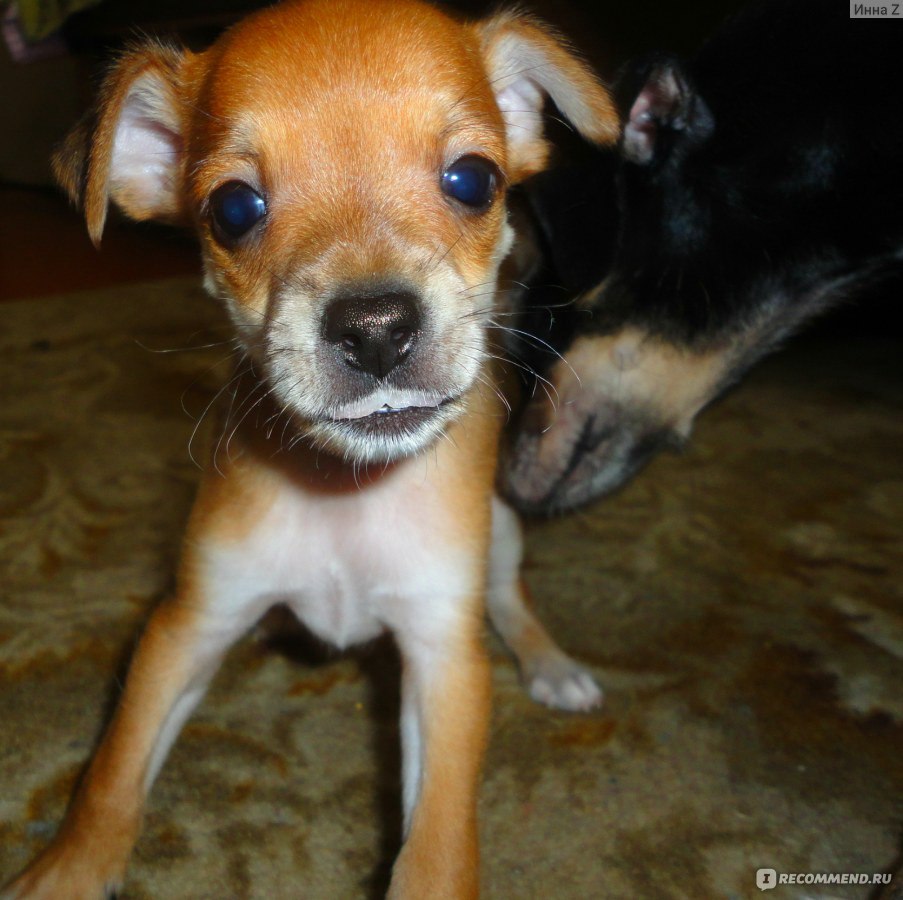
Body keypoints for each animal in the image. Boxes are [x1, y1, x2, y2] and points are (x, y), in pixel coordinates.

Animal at [3, 3, 616, 896]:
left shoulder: (442, 659)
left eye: (473, 180)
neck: (344, 495)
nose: (376, 328)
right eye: (233, 210)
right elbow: (112, 775)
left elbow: (436, 847)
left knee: (510, 599)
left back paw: (552, 665)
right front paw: (67, 870)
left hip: (499, 535)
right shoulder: (187, 626)